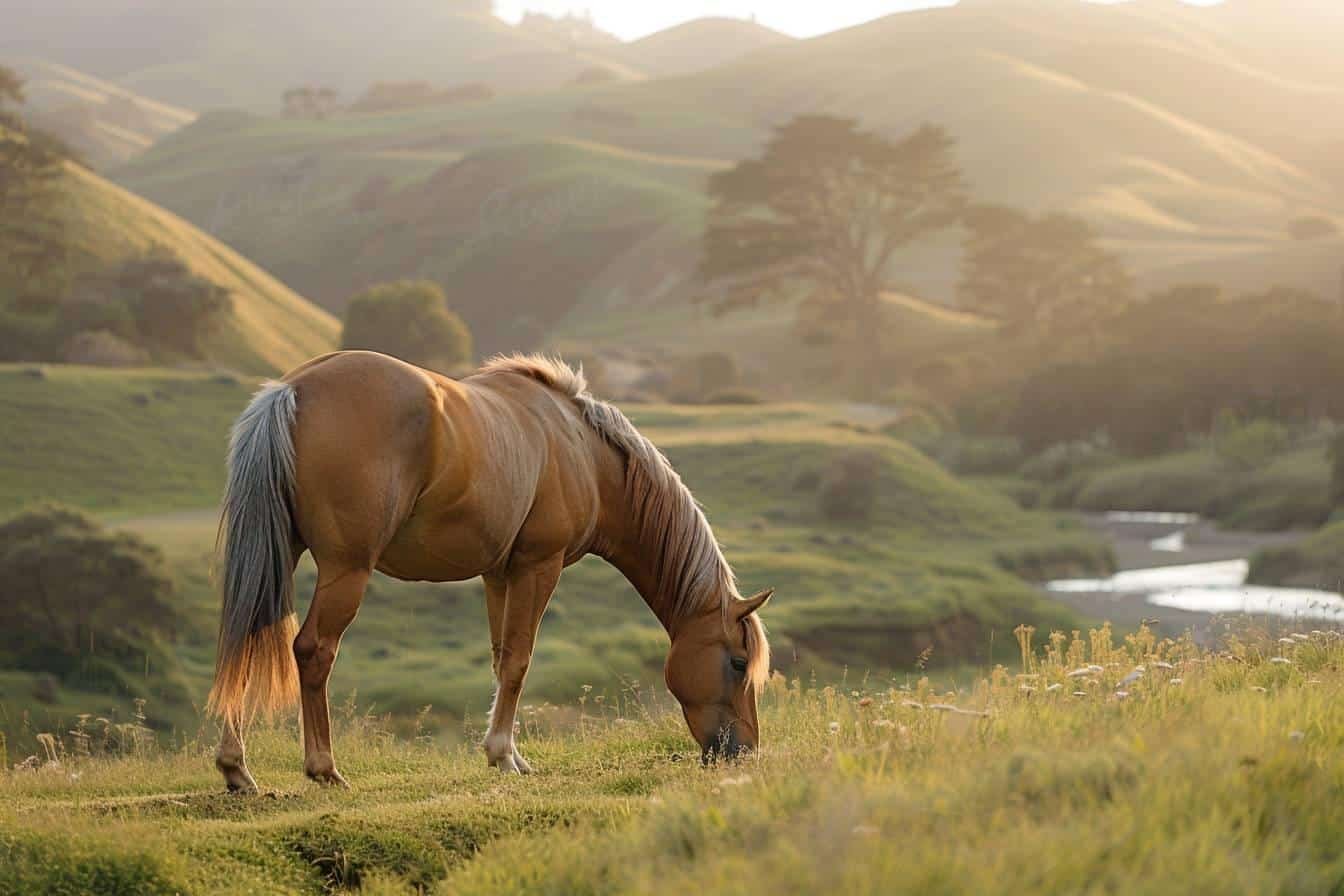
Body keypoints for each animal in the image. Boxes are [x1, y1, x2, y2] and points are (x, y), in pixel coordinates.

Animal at [205, 349, 774, 789]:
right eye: (738, 662)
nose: (744, 750)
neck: (582, 450)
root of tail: (291, 390)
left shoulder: (498, 574)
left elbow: (502, 660)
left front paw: (507, 753)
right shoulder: (538, 567)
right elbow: (520, 661)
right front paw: (504, 757)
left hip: (278, 556)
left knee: (245, 637)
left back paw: (237, 769)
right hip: (346, 571)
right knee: (313, 650)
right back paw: (323, 768)